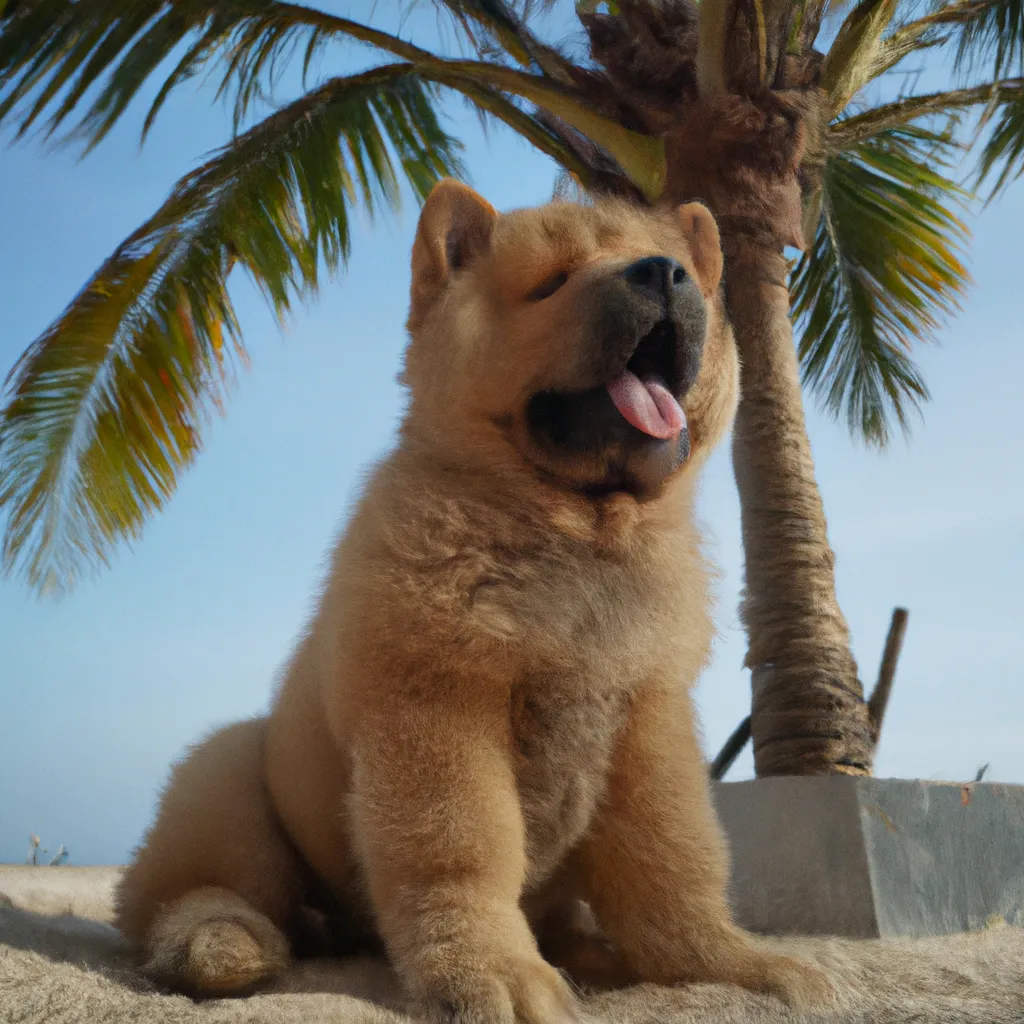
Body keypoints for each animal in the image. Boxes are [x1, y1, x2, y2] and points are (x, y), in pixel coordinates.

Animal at [114, 184, 831, 1024]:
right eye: (552, 284)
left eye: (675, 268)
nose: (661, 274)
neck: (579, 532)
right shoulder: (438, 701)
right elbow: (461, 847)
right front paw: (496, 976)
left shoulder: (647, 719)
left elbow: (673, 859)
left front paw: (731, 965)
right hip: (229, 773)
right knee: (179, 891)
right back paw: (219, 943)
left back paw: (590, 955)